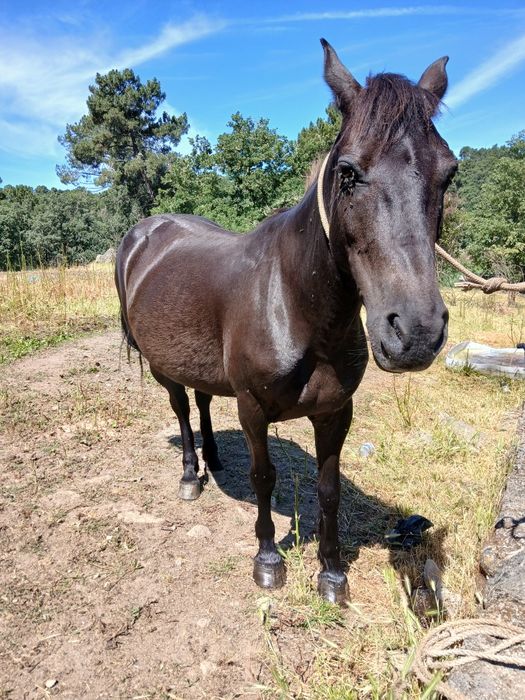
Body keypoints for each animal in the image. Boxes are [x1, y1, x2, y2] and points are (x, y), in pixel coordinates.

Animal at [115, 39, 457, 604]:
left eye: (448, 173)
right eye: (347, 172)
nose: (415, 334)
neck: (297, 309)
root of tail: (143, 234)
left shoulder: (336, 412)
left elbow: (329, 487)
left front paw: (332, 574)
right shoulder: (253, 409)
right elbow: (264, 477)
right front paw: (269, 560)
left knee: (203, 401)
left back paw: (214, 459)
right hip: (163, 367)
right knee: (182, 411)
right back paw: (191, 475)